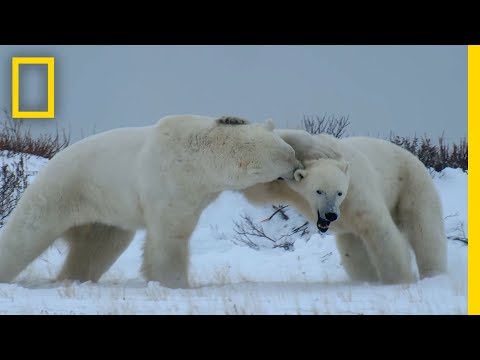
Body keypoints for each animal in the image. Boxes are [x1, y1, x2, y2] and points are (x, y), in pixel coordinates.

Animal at [0, 114, 300, 288]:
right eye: (288, 155)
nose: (298, 168)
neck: (201, 155)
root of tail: (52, 161)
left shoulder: (198, 188)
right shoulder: (171, 181)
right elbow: (170, 235)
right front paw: (175, 283)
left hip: (107, 212)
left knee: (98, 248)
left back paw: (72, 278)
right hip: (62, 190)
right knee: (25, 236)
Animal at [242, 130, 448, 284]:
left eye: (339, 192)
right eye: (319, 191)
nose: (331, 214)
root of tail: (415, 158)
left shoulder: (356, 191)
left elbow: (379, 230)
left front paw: (400, 279)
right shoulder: (288, 185)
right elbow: (258, 188)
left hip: (411, 184)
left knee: (424, 229)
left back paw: (433, 273)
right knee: (352, 247)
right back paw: (366, 278)